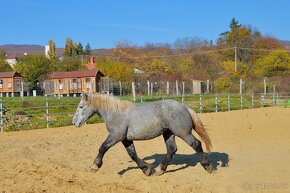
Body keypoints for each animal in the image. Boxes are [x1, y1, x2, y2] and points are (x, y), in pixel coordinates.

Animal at [72, 92, 213, 176]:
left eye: (81, 106)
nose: (74, 122)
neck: (116, 113)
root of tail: (185, 107)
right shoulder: (125, 139)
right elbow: (133, 154)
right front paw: (146, 169)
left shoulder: (115, 136)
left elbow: (102, 148)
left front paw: (94, 166)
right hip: (168, 133)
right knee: (172, 149)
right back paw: (160, 170)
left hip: (183, 133)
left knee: (196, 144)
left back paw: (207, 166)